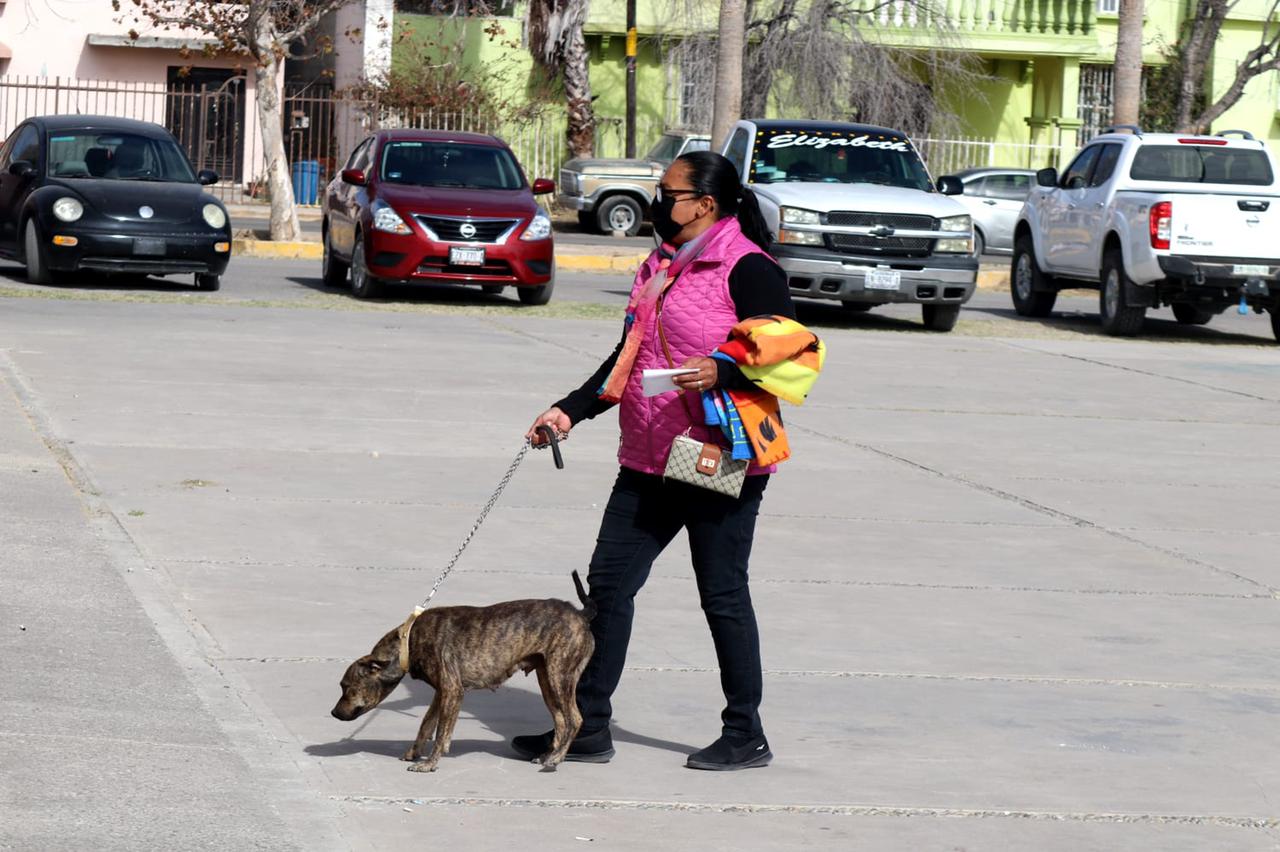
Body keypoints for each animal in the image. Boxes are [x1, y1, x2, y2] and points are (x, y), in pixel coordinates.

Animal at [330, 571, 595, 772]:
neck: (408, 642)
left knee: (574, 719)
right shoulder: (442, 692)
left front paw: (429, 764)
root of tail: (581, 614)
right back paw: (547, 755)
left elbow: (441, 733)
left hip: (559, 675)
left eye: (346, 687)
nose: (333, 713)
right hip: (547, 679)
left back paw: (556, 759)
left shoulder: (452, 691)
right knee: (561, 722)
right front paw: (414, 752)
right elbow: (426, 724)